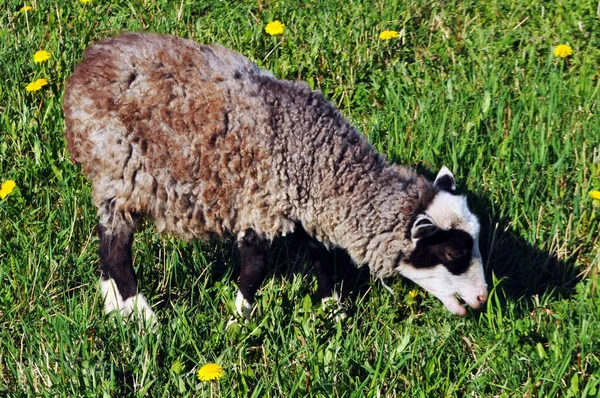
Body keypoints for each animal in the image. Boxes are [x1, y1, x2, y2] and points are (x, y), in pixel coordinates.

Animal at [64, 32, 488, 322]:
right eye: (453, 254)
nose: (482, 299)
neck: (317, 159)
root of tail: (86, 66)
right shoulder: (261, 203)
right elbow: (255, 267)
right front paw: (239, 321)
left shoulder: (304, 205)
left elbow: (320, 255)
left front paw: (333, 310)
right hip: (120, 169)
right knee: (116, 250)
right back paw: (144, 319)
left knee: (106, 243)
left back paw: (113, 307)